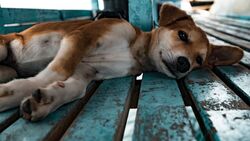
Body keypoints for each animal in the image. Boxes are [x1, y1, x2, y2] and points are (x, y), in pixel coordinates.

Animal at [0, 4, 244, 121]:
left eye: (199, 60)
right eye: (182, 35)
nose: (185, 64)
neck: (134, 51)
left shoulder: (88, 70)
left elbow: (75, 88)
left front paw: (47, 100)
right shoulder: (80, 37)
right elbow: (58, 70)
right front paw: (17, 90)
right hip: (3, 47)